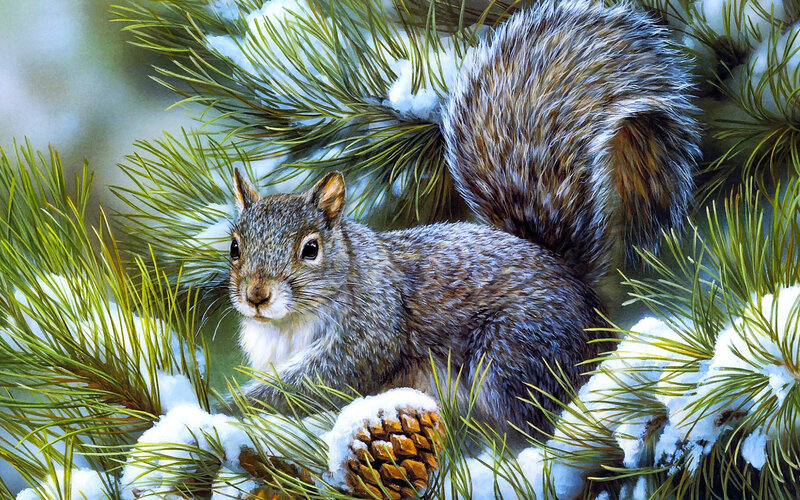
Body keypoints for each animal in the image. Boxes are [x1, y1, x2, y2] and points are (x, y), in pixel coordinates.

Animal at [226, 0, 700, 440]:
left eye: (311, 249)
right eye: (234, 247)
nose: (257, 295)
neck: (288, 323)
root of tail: (584, 296)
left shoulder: (372, 327)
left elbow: (324, 379)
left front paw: (239, 405)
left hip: (514, 354)